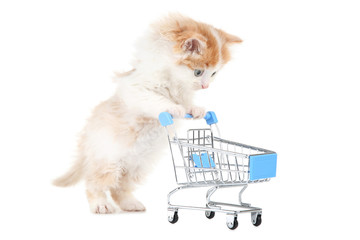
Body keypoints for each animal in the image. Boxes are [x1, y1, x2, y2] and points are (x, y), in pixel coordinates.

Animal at [53, 14, 242, 214]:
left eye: (213, 74)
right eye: (198, 72)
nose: (205, 86)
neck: (173, 80)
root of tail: (87, 135)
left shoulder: (182, 94)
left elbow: (187, 103)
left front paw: (195, 110)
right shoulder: (137, 91)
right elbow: (157, 100)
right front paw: (174, 108)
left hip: (136, 166)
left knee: (119, 187)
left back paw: (130, 203)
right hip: (108, 161)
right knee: (94, 183)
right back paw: (100, 204)